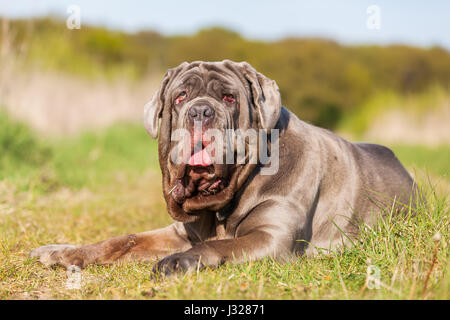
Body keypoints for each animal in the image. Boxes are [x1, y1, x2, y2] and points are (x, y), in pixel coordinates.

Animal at [29, 60, 418, 276]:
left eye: (229, 98)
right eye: (180, 97)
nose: (201, 111)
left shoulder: (271, 237)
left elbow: (221, 247)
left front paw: (177, 262)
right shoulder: (179, 232)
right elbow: (122, 240)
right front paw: (62, 251)